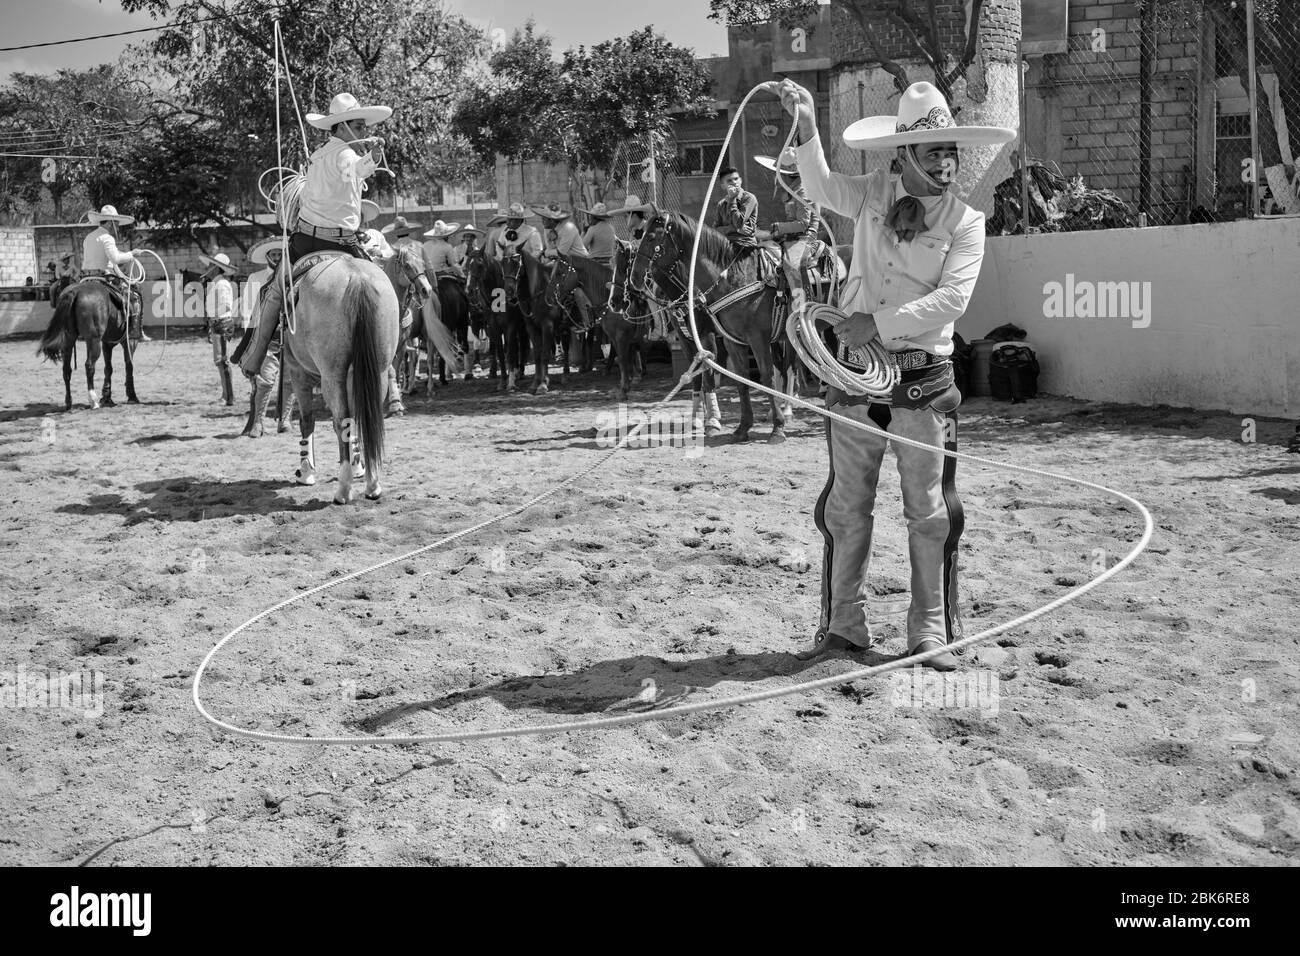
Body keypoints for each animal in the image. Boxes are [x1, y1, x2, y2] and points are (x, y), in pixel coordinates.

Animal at [36, 278, 138, 408]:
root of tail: (75, 291)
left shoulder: (107, 343)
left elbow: (108, 368)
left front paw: (107, 397)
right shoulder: (131, 340)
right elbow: (129, 366)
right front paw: (132, 396)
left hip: (69, 340)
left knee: (66, 369)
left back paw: (69, 402)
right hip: (93, 340)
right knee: (89, 365)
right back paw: (93, 400)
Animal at [629, 210, 790, 442]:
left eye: (651, 238)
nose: (635, 278)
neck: (736, 277)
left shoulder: (753, 339)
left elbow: (765, 378)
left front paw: (777, 427)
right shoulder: (727, 340)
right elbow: (739, 379)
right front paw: (740, 427)